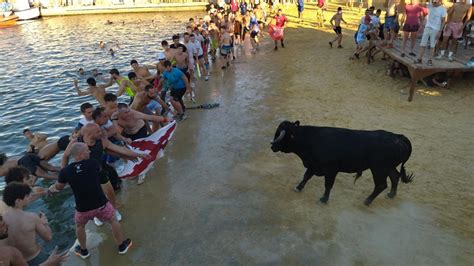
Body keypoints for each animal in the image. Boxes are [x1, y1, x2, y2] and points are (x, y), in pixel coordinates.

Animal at [270, 120, 414, 206]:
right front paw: (298, 187)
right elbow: (306, 176)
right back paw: (391, 195)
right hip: (388, 167)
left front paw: (324, 199)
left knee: (381, 185)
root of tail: (398, 137)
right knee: (395, 177)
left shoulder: (331, 170)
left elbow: (328, 185)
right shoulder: (313, 165)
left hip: (378, 169)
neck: (310, 139)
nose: (272, 146)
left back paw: (367, 201)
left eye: (279, 135)